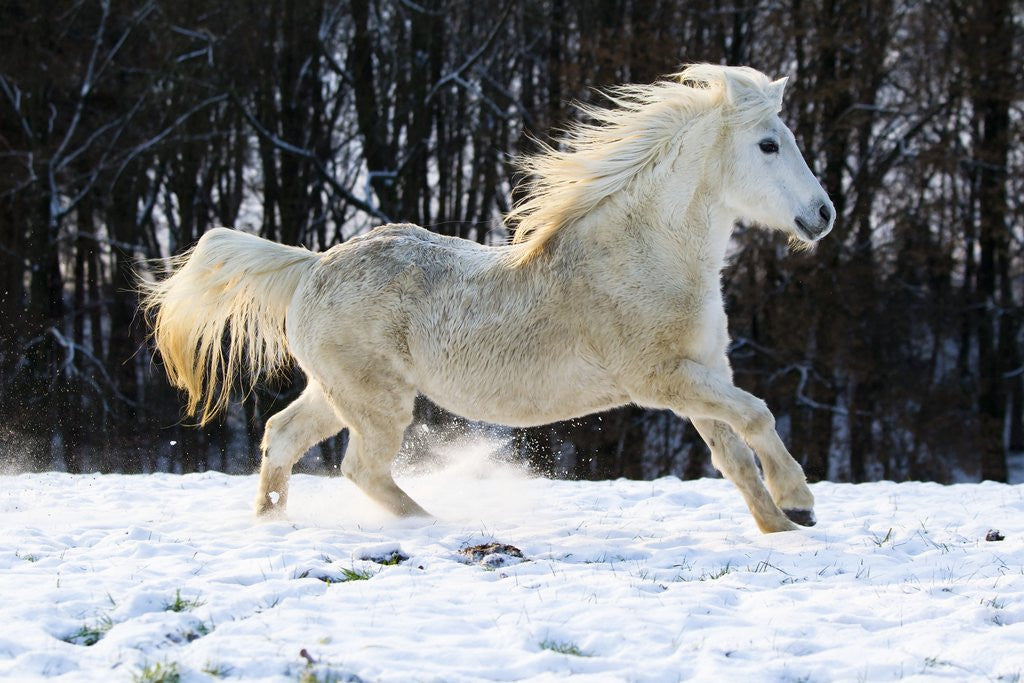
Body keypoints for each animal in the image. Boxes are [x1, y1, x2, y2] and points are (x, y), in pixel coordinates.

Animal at [142, 63, 831, 532]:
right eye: (769, 144)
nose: (822, 215)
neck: (646, 252)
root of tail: (313, 266)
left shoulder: (702, 372)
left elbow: (733, 453)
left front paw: (780, 525)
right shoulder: (662, 378)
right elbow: (757, 416)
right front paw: (799, 501)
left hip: (337, 393)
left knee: (282, 437)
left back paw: (272, 523)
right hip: (375, 401)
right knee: (361, 468)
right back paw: (432, 525)